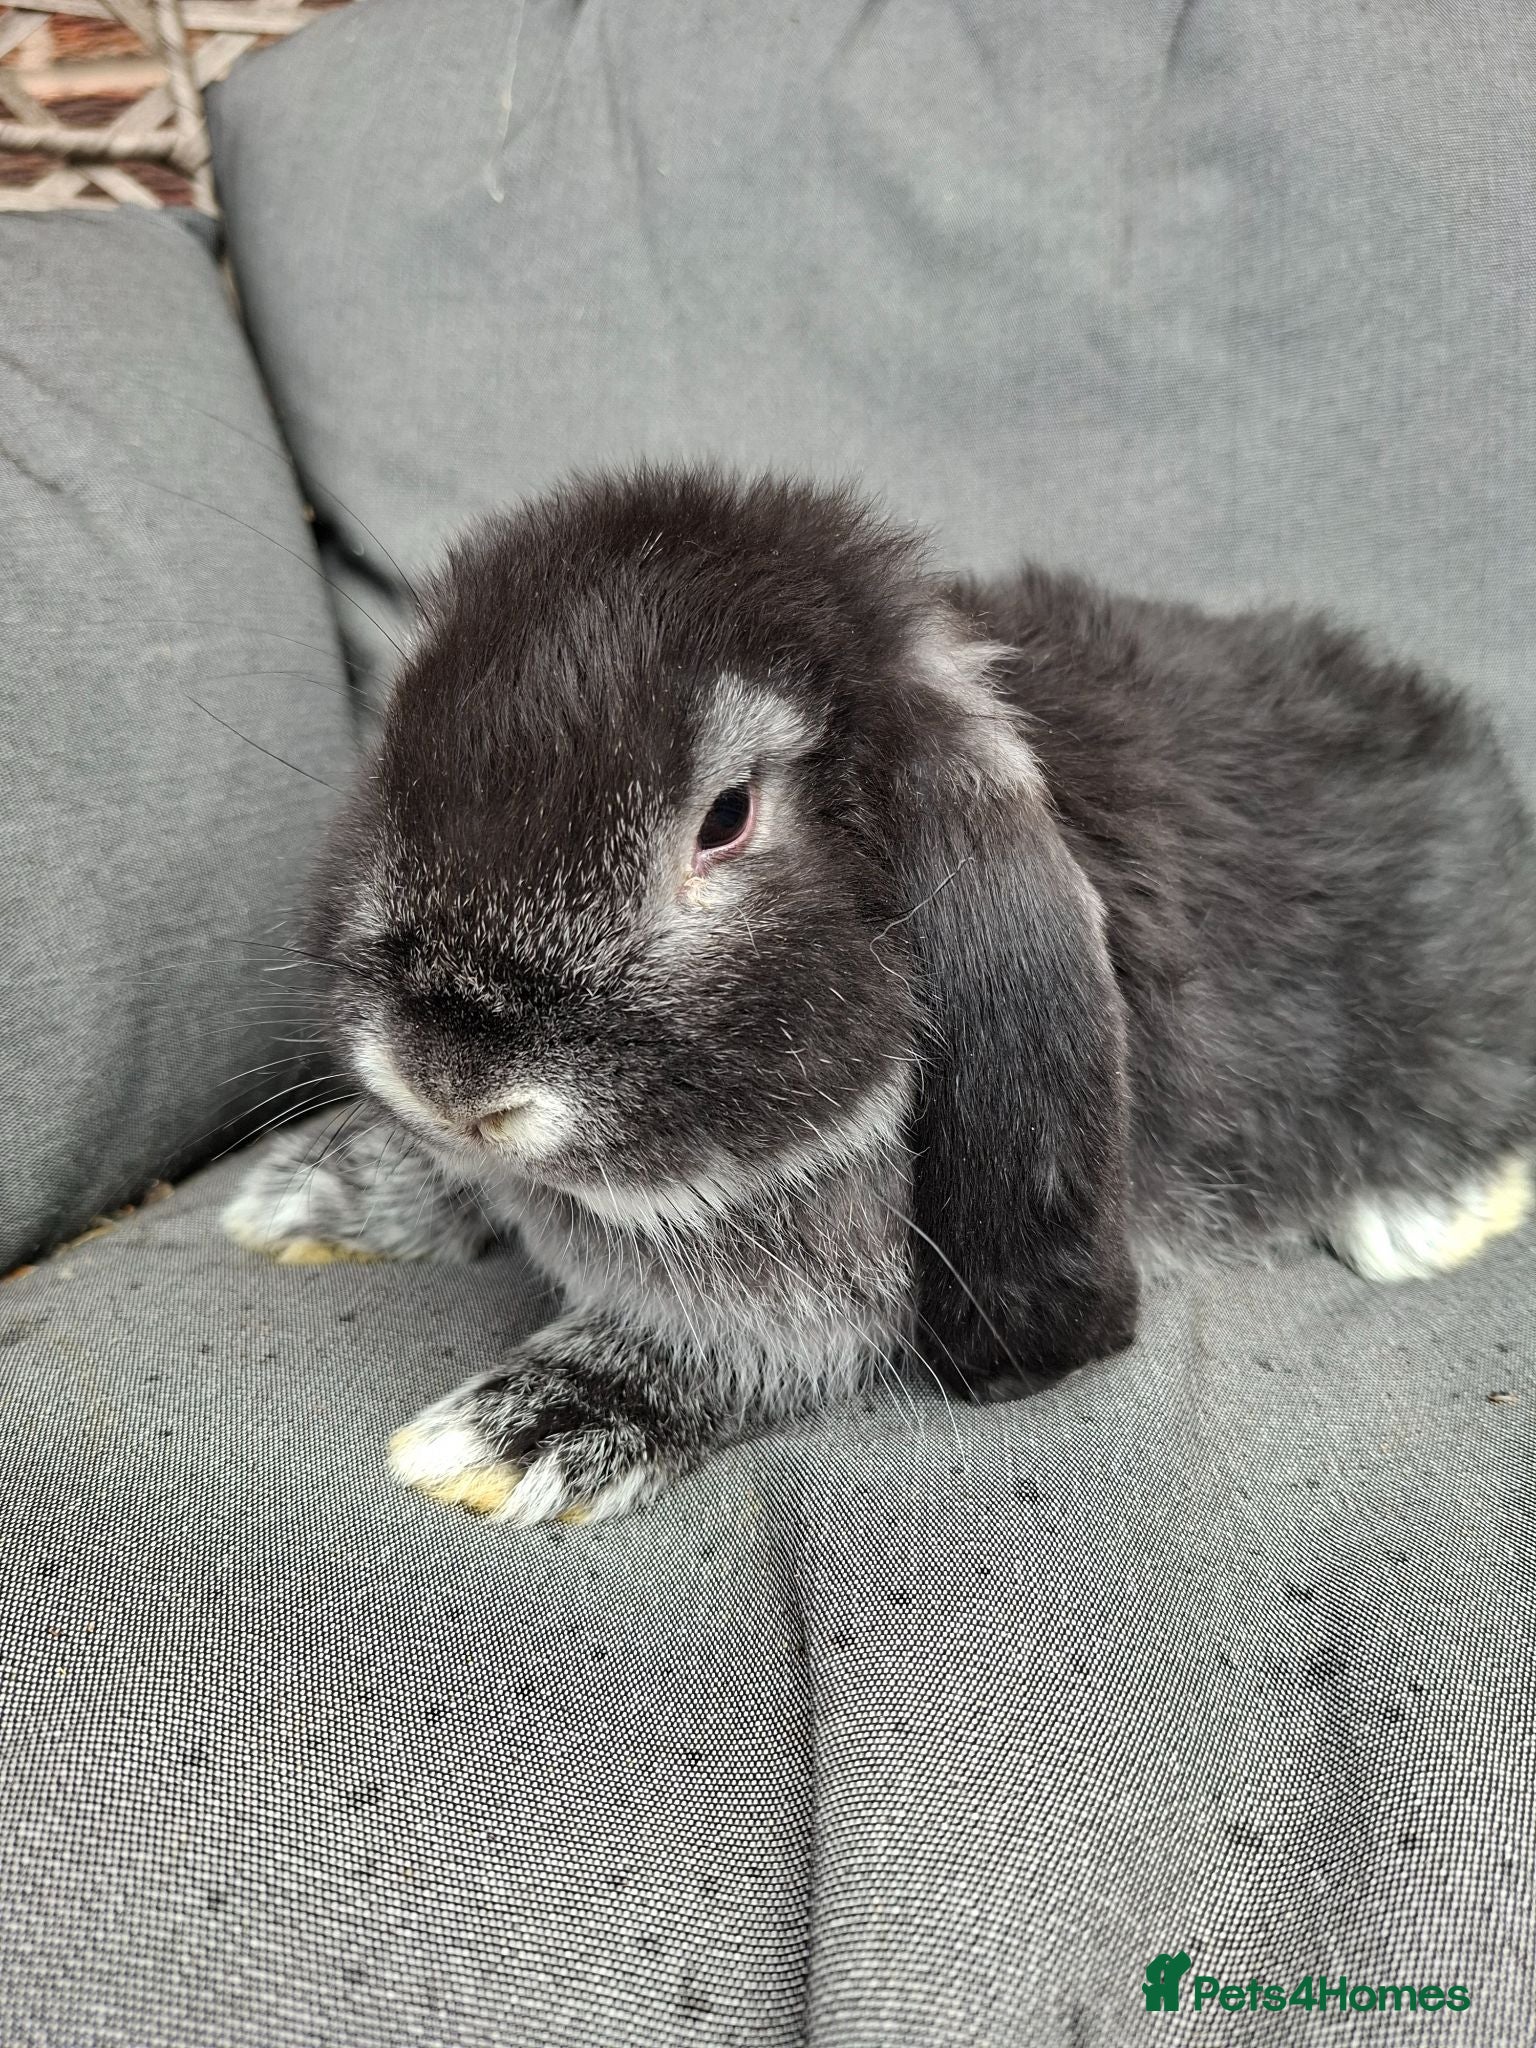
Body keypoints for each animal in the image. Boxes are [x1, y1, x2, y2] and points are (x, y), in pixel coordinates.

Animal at [222, 463, 1536, 1526]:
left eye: (727, 818)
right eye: (398, 742)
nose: (447, 1070)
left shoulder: (837, 1287)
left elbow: (730, 1352)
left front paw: (519, 1432)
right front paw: (308, 1191)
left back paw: (1426, 1215)